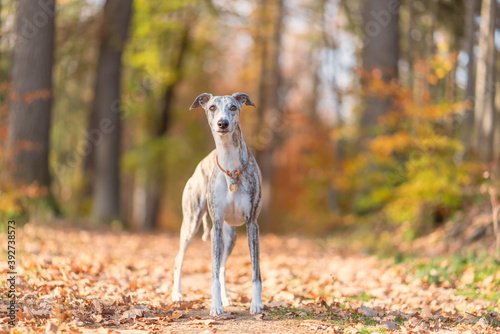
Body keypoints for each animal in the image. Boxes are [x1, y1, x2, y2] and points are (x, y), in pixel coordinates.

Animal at [172, 92, 264, 316]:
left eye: (233, 107)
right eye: (212, 107)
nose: (223, 124)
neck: (230, 168)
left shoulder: (252, 224)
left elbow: (255, 271)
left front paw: (256, 304)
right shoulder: (216, 225)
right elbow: (212, 273)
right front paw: (215, 306)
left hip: (229, 235)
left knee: (222, 266)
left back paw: (225, 297)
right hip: (192, 223)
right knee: (179, 258)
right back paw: (176, 294)